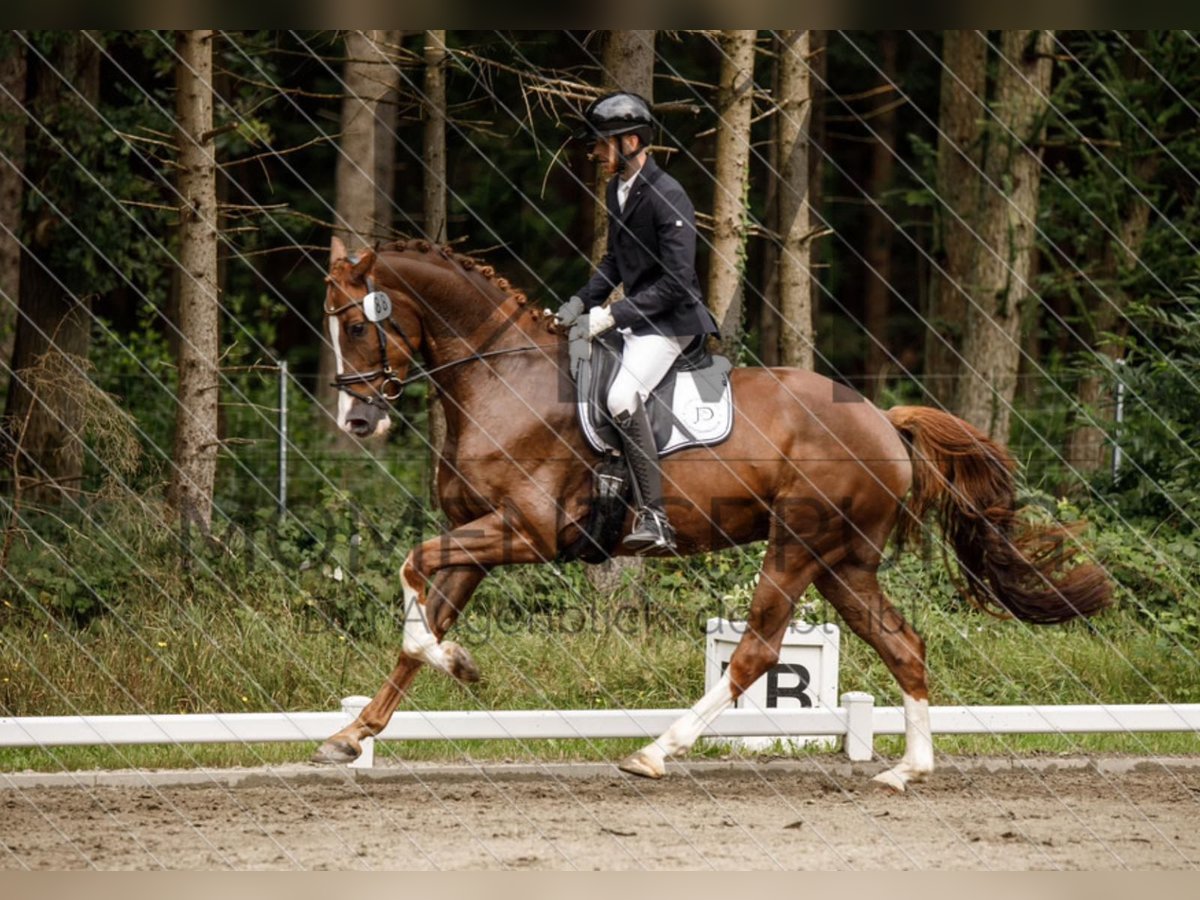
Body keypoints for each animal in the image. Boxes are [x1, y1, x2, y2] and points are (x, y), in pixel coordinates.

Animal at [316, 236, 1104, 792]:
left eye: (355, 325)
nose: (356, 420)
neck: (500, 375)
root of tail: (884, 418)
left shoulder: (525, 532)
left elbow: (412, 569)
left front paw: (458, 665)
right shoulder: (478, 536)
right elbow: (420, 622)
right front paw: (355, 733)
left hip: (798, 546)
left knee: (756, 652)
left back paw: (656, 751)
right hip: (842, 562)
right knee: (902, 644)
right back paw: (906, 770)